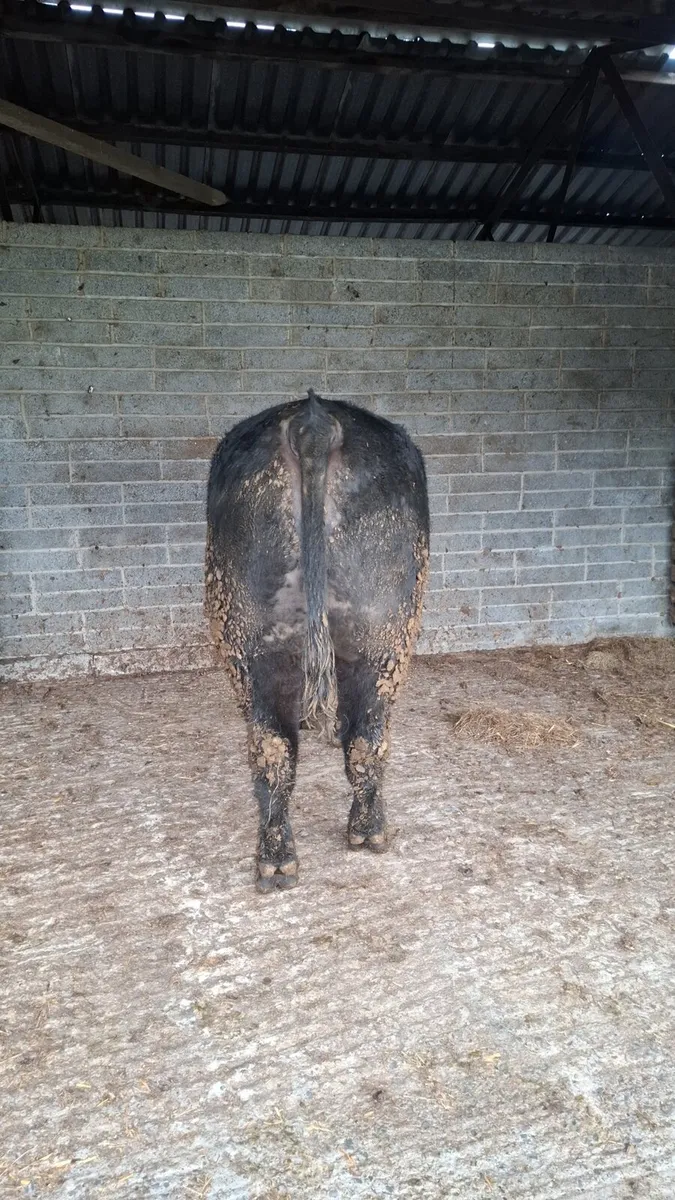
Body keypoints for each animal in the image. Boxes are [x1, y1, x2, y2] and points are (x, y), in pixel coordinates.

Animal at [205, 389, 429, 892]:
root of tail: (313, 419)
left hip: (256, 637)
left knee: (278, 747)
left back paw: (279, 861)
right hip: (387, 630)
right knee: (361, 738)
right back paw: (364, 834)